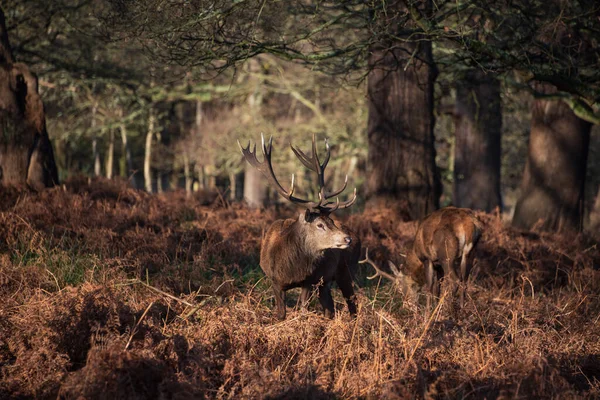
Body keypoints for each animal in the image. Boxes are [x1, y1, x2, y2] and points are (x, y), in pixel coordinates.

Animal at [239, 134, 360, 318]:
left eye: (331, 221)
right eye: (320, 224)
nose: (348, 239)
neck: (290, 269)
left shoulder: (308, 281)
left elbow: (303, 310)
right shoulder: (274, 281)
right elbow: (281, 314)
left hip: (346, 271)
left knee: (352, 303)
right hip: (325, 283)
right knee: (330, 307)